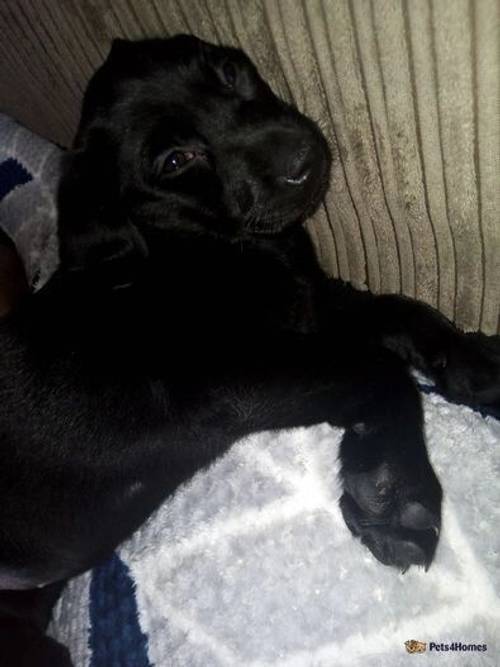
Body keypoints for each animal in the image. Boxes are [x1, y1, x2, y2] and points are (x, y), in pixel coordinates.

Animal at [0, 35, 500, 664]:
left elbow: (404, 310)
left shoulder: (313, 307)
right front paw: (397, 492)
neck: (207, 247)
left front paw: (476, 360)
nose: (304, 160)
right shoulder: (233, 377)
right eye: (174, 160)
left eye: (230, 71)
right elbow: (382, 369)